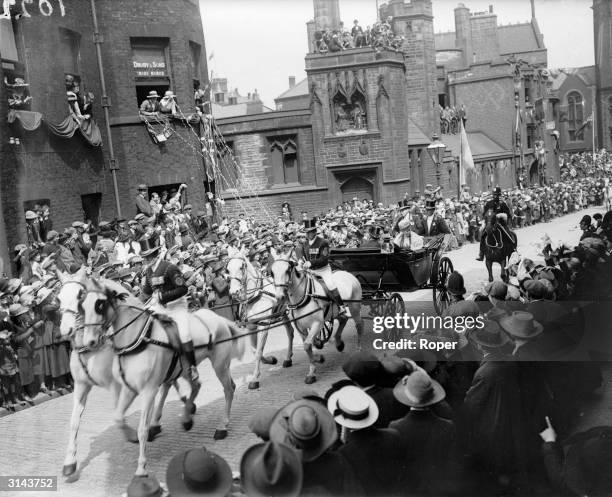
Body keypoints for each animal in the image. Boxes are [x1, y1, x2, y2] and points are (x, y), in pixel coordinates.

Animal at [71, 278, 246, 474]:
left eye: (100, 304)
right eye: (81, 306)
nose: (89, 342)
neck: (139, 338)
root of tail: (219, 318)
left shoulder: (148, 390)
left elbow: (142, 428)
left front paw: (141, 467)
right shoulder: (129, 388)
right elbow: (118, 418)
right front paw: (132, 436)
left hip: (219, 364)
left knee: (228, 389)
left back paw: (222, 427)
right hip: (185, 368)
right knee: (196, 385)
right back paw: (187, 419)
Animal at [227, 256, 298, 388]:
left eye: (241, 267)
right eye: (227, 269)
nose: (234, 292)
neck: (256, 296)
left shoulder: (264, 325)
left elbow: (259, 351)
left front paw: (254, 379)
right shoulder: (251, 327)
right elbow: (255, 351)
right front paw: (270, 360)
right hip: (283, 313)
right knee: (290, 332)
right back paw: (288, 358)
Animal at [268, 254, 364, 382]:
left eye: (287, 269)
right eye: (272, 272)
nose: (279, 297)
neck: (304, 296)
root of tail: (348, 274)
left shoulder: (318, 323)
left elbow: (308, 344)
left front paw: (312, 372)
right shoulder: (301, 327)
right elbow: (308, 343)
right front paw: (317, 358)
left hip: (355, 307)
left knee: (359, 324)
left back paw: (359, 349)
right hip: (335, 312)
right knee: (344, 319)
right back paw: (339, 343)